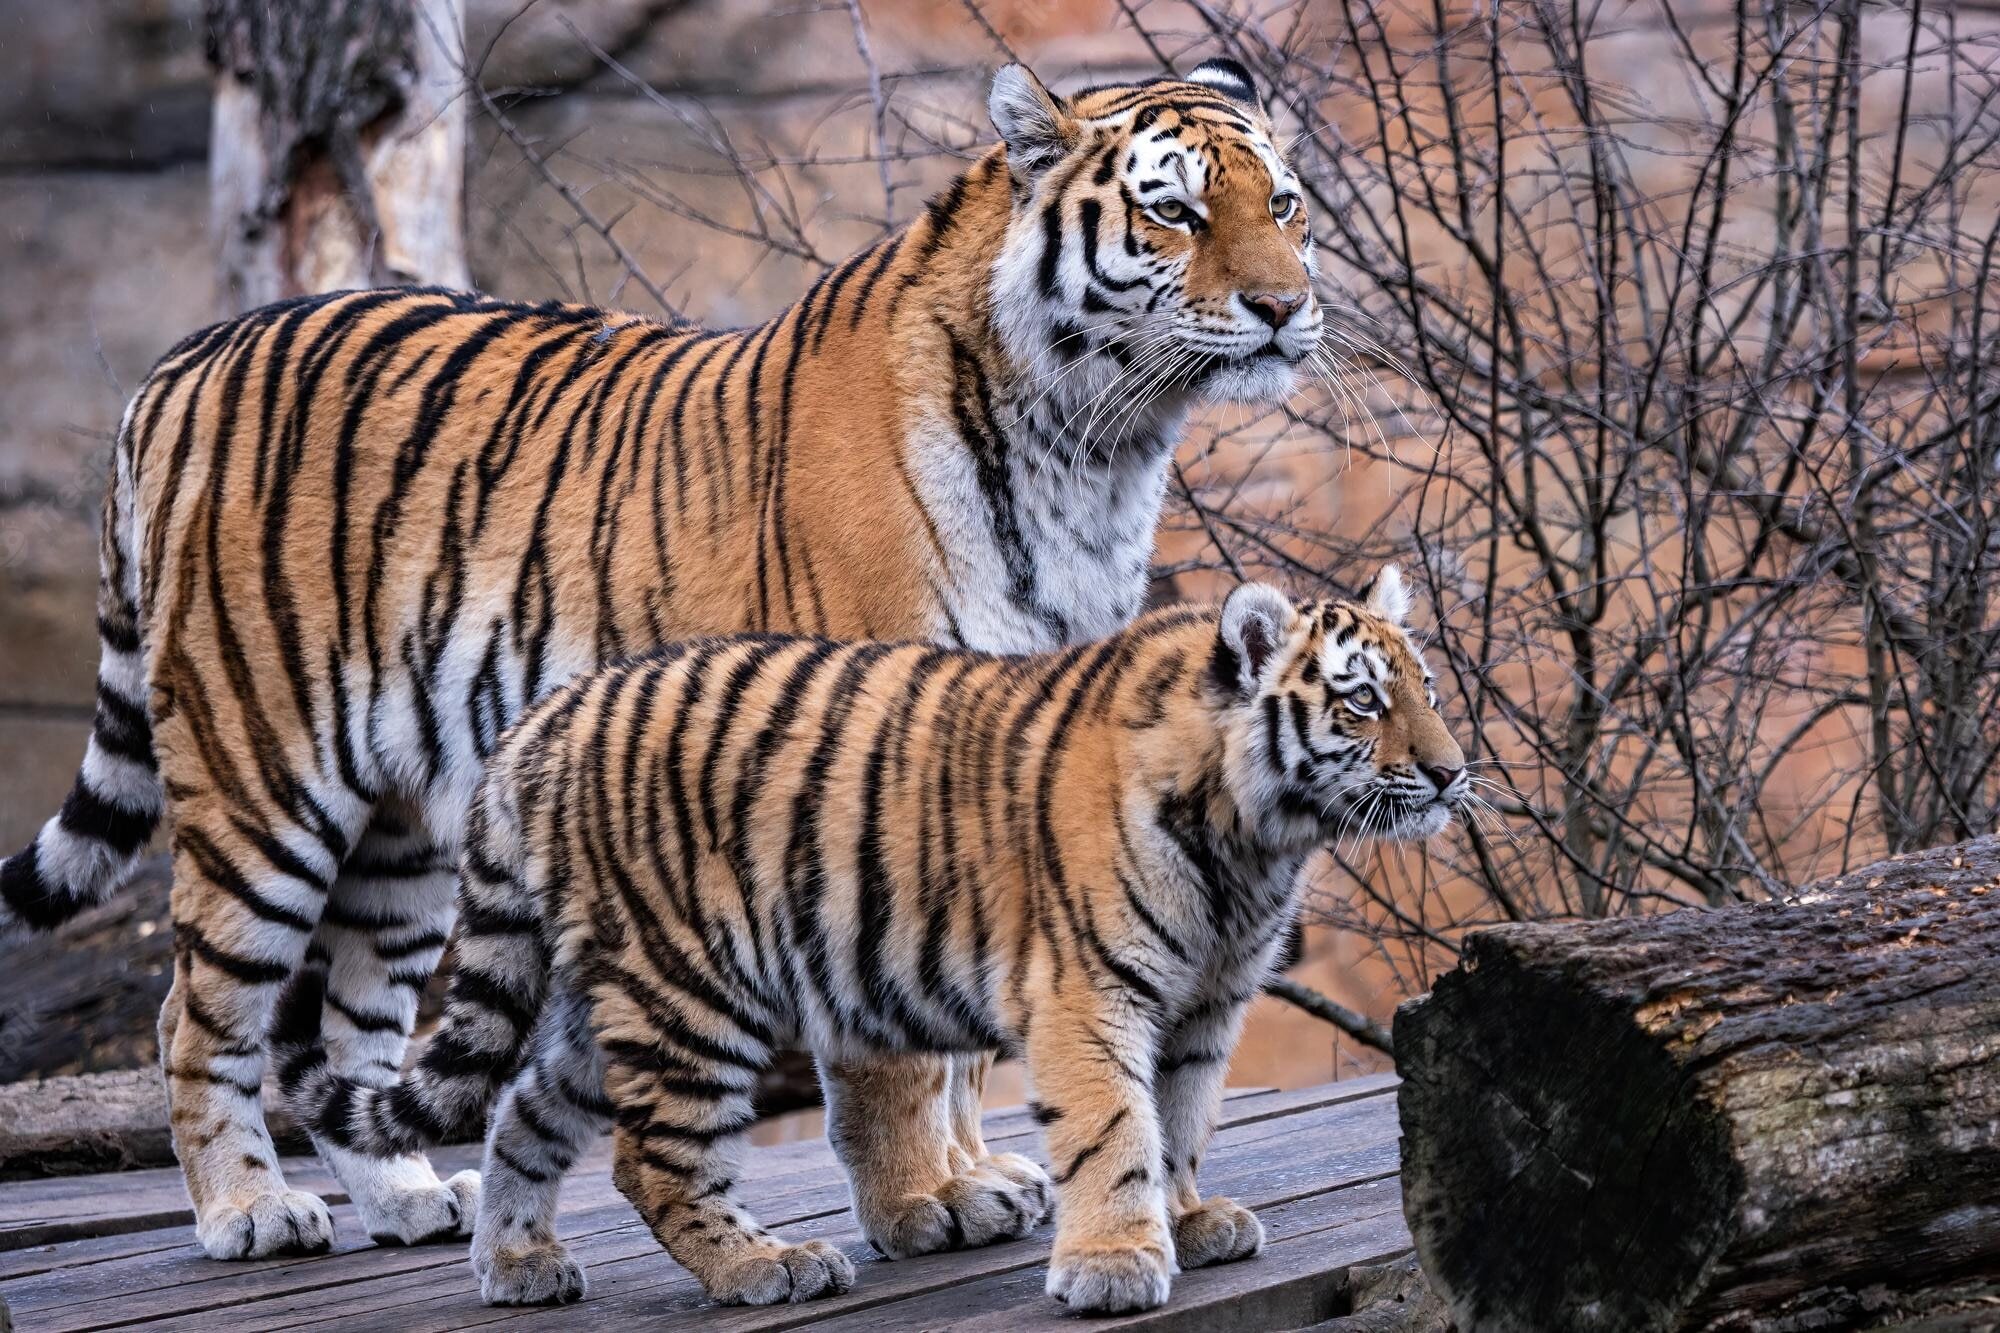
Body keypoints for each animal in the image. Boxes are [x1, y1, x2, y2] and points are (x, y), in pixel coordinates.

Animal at [3, 59, 1328, 1256]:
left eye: (1284, 203)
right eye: (1174, 212)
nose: (1283, 307)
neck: (1094, 448)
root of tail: (180, 361)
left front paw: (975, 1176)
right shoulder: (871, 759)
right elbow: (896, 1041)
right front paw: (924, 1202)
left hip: (404, 826)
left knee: (345, 1023)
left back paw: (408, 1200)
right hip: (260, 784)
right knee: (197, 1013)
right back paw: (249, 1212)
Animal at [282, 572, 1464, 1304]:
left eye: (1427, 689)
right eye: (1362, 704)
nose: (1453, 771)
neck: (1256, 841)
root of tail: (542, 721)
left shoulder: (1205, 1003)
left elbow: (1178, 1121)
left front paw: (1189, 1218)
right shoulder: (1092, 991)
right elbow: (1115, 1127)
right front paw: (1117, 1263)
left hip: (602, 993)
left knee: (525, 1110)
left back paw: (521, 1267)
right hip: (689, 992)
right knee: (652, 1159)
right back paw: (761, 1269)